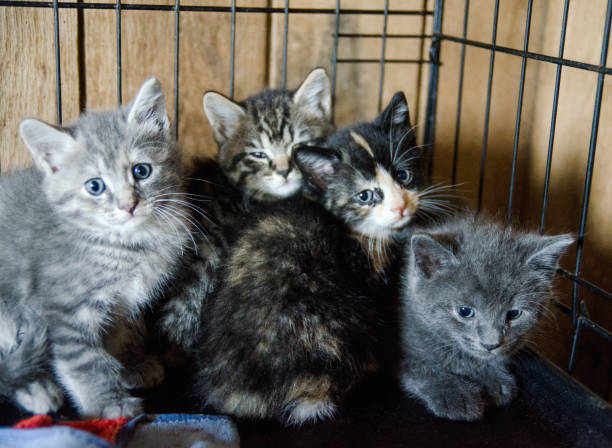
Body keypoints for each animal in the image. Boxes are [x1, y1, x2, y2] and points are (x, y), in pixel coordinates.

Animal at [0, 79, 191, 418]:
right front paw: (109, 403)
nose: (129, 205)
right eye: (95, 186)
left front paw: (132, 364)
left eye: (141, 171)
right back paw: (36, 389)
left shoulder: (121, 302)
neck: (129, 245)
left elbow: (118, 333)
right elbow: (85, 361)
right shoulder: (66, 307)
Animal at [400, 215, 572, 422]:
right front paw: (455, 392)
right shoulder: (405, 349)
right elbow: (422, 367)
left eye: (514, 313)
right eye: (464, 311)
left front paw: (492, 377)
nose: (491, 344)